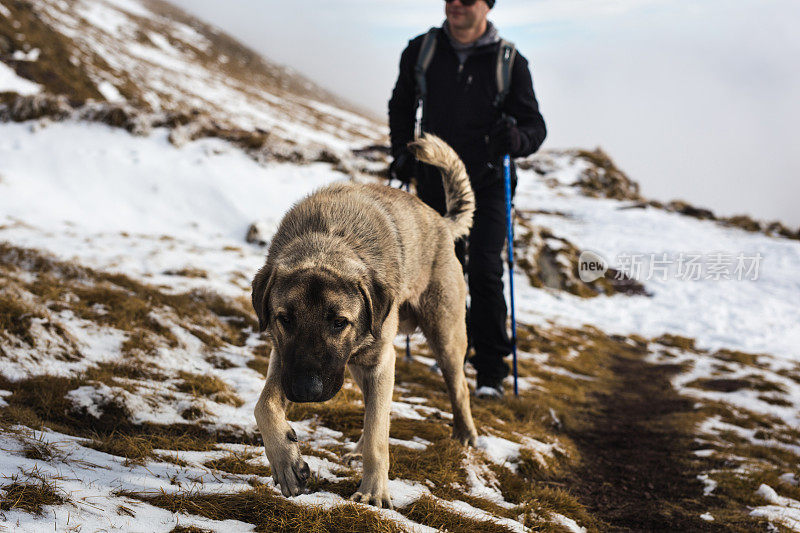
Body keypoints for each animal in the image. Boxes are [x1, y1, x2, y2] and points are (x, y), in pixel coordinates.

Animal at [252, 133, 476, 508]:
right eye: (285, 319)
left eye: (339, 322)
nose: (306, 392)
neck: (328, 241)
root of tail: (442, 223)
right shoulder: (283, 358)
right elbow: (264, 406)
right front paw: (287, 463)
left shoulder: (381, 360)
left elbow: (377, 434)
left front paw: (373, 492)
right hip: (357, 365)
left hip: (443, 337)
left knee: (456, 387)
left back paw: (465, 434)